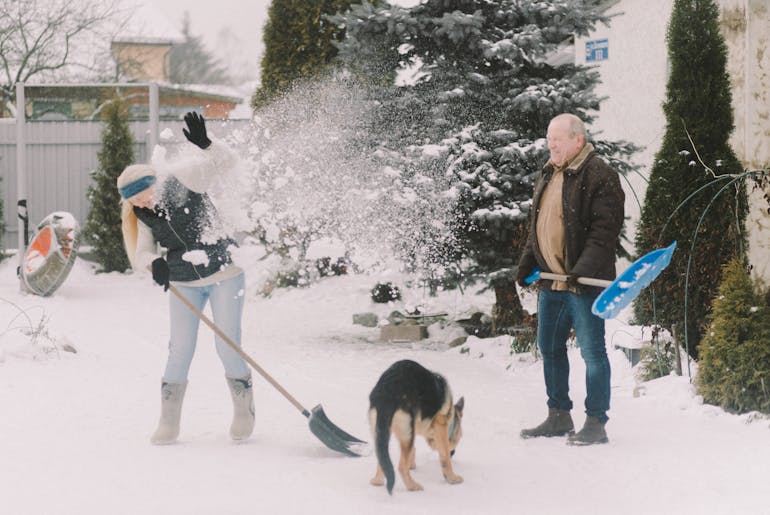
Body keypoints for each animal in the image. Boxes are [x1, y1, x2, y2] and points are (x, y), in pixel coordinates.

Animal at [366, 360, 462, 494]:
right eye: (459, 439)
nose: (453, 452)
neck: (451, 416)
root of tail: (387, 393)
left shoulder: (414, 428)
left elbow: (413, 449)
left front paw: (411, 464)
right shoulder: (440, 425)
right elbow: (444, 456)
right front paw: (451, 477)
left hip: (384, 433)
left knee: (382, 457)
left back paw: (377, 481)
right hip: (405, 434)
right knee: (401, 467)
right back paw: (412, 486)